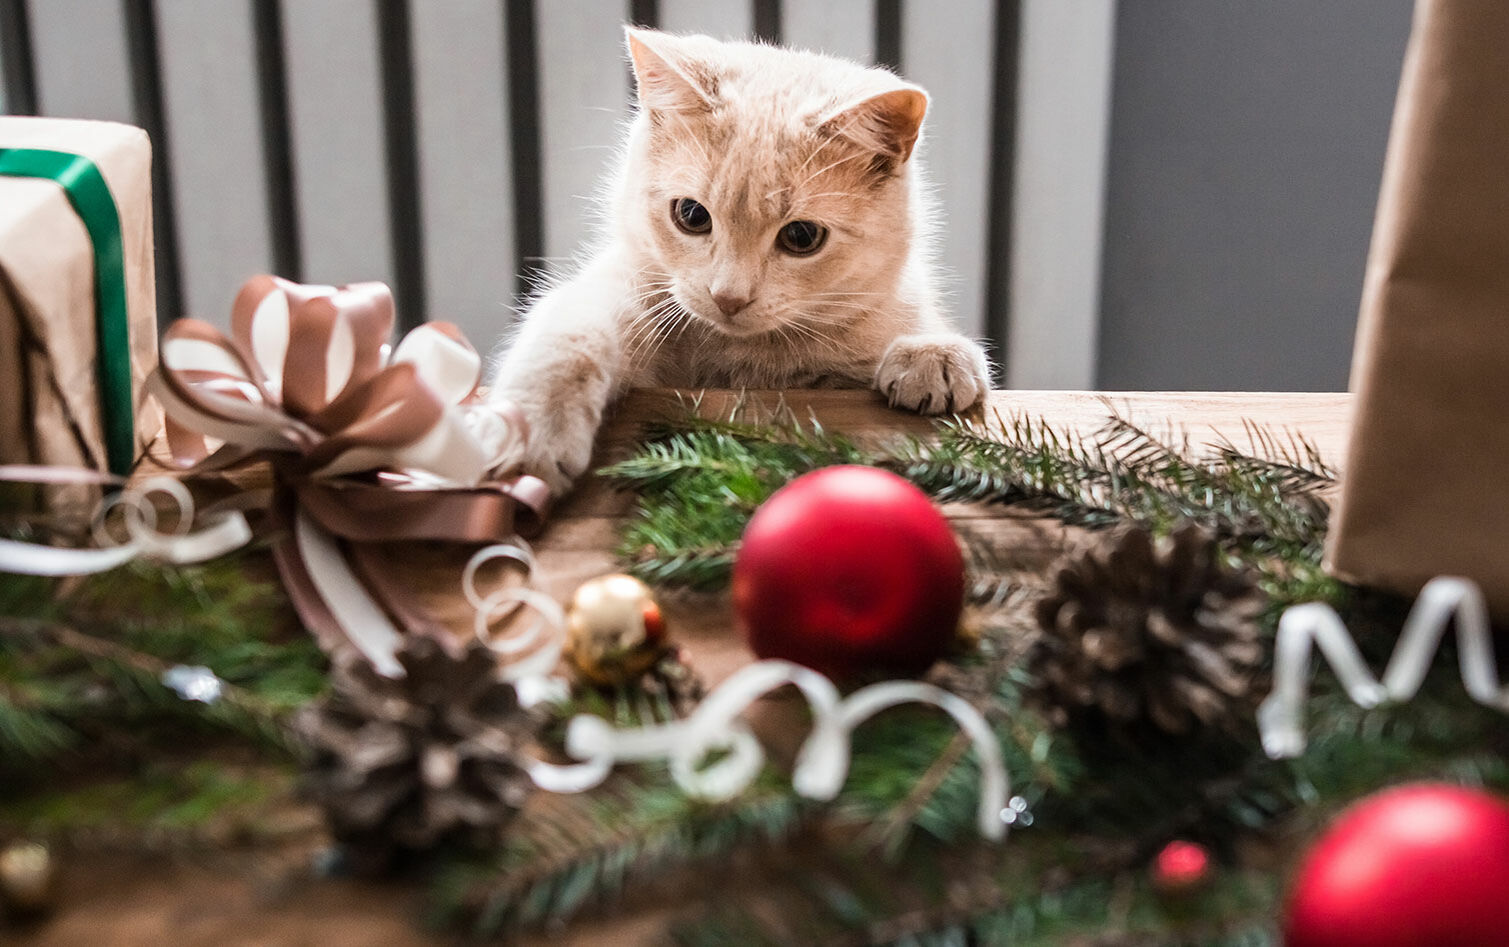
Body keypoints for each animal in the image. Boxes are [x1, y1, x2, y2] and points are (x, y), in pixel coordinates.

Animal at [488, 27, 995, 494]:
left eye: (802, 236)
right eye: (691, 215)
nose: (728, 296)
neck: (741, 360)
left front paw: (933, 353)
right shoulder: (623, 289)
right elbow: (570, 333)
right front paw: (534, 426)